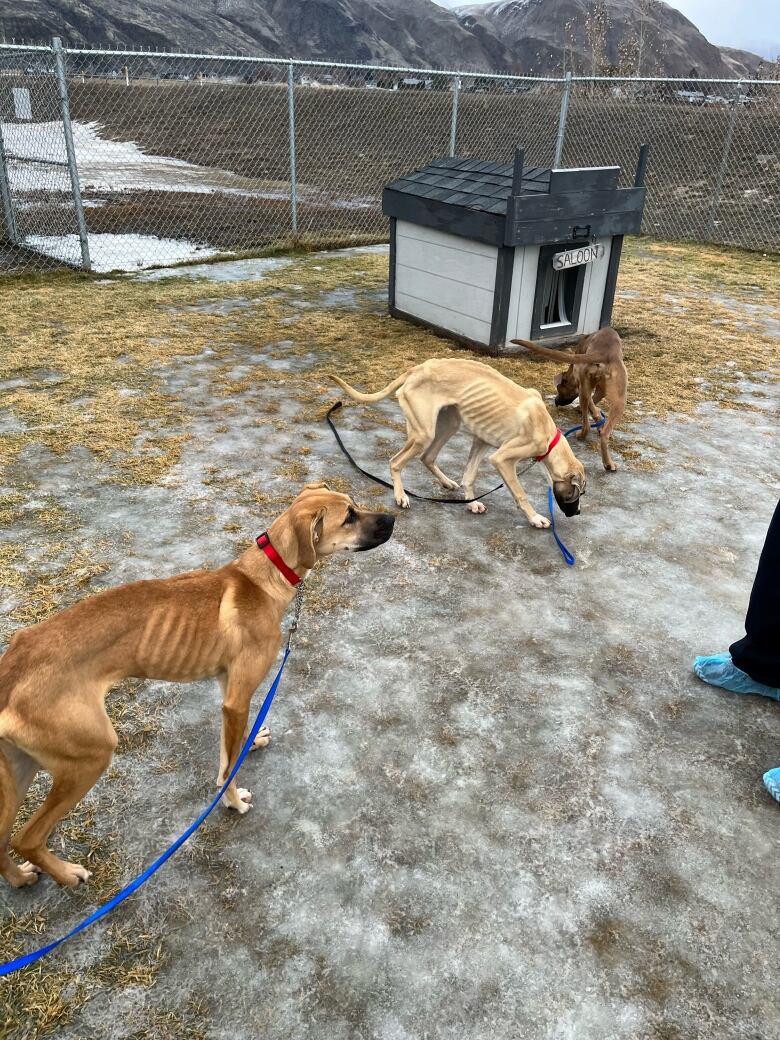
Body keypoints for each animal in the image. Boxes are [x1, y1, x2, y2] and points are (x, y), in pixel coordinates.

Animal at [0, 482, 391, 890]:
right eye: (349, 516)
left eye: (354, 505)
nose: (392, 519)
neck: (261, 578)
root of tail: (14, 663)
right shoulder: (237, 697)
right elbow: (229, 767)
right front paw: (233, 802)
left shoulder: (229, 691)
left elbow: (228, 751)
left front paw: (251, 742)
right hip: (89, 756)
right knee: (25, 837)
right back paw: (66, 874)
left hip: (22, 767)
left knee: (2, 838)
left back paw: (20, 878)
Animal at [328, 359, 586, 528]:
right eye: (578, 493)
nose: (578, 513)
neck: (549, 434)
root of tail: (416, 369)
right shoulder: (501, 459)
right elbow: (521, 494)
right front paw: (535, 518)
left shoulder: (481, 442)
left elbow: (469, 476)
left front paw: (471, 503)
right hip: (423, 434)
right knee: (395, 462)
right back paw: (401, 496)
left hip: (447, 425)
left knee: (428, 457)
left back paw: (446, 482)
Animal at [513, 324, 628, 472]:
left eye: (560, 390)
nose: (556, 402)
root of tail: (605, 353)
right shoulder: (587, 386)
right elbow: (594, 405)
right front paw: (597, 418)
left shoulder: (584, 385)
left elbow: (594, 406)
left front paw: (596, 419)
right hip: (614, 397)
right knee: (597, 429)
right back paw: (606, 461)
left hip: (606, 394)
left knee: (590, 425)